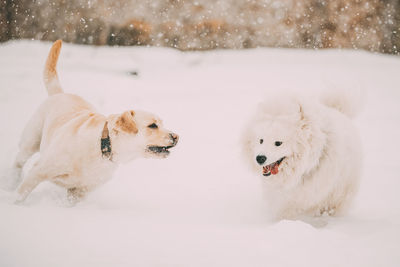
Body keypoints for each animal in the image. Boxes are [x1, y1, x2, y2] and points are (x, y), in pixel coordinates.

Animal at [14, 40, 179, 203]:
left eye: (162, 123)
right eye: (153, 125)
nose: (177, 136)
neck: (103, 146)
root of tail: (60, 93)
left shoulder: (80, 191)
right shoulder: (40, 170)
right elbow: (21, 194)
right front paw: (13, 203)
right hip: (30, 141)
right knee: (18, 163)